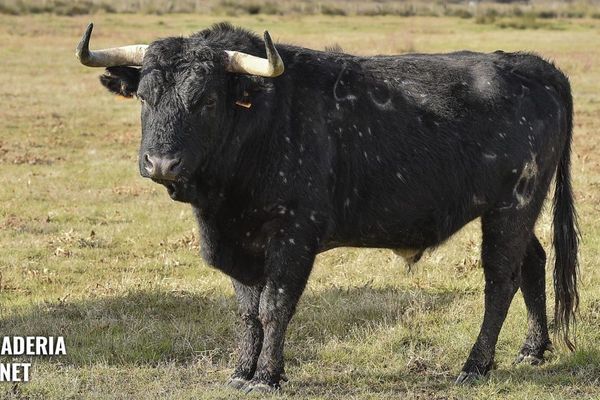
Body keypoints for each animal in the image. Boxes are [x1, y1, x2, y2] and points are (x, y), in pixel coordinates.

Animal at [77, 22, 580, 394]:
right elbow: (247, 311)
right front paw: (241, 371)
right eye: (145, 97)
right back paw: (532, 350)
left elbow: (274, 306)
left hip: (512, 206)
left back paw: (475, 365)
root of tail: (534, 66)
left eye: (206, 99)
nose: (161, 162)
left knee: (500, 280)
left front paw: (267, 376)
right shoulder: (240, 243)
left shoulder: (293, 238)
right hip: (516, 211)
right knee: (533, 263)